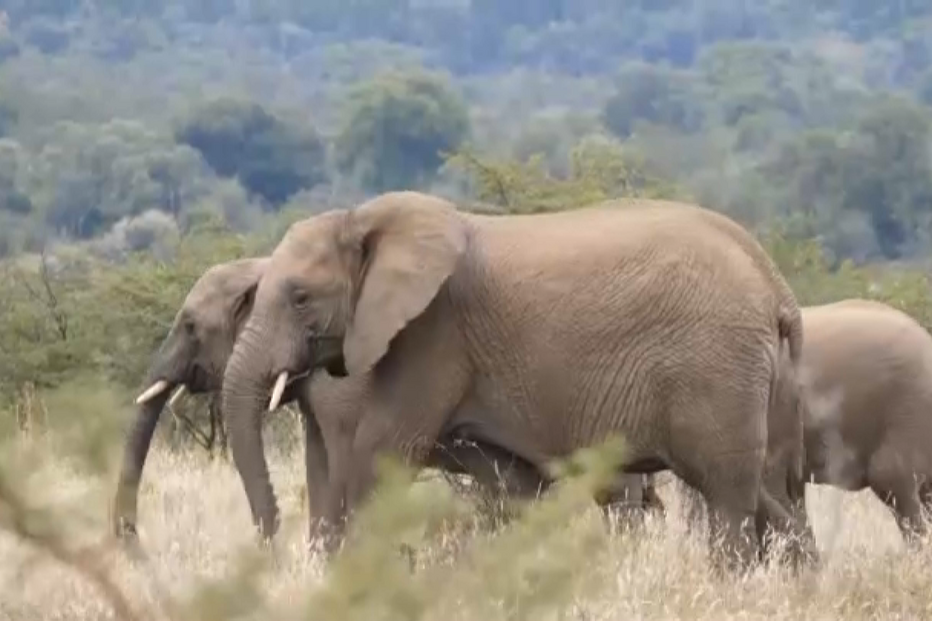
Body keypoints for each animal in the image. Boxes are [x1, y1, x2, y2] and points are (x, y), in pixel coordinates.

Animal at [219, 190, 812, 572]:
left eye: (300, 297)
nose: (273, 551)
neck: (362, 219)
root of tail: (775, 285)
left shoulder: (432, 333)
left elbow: (381, 451)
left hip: (717, 369)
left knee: (727, 491)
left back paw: (729, 582)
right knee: (768, 487)